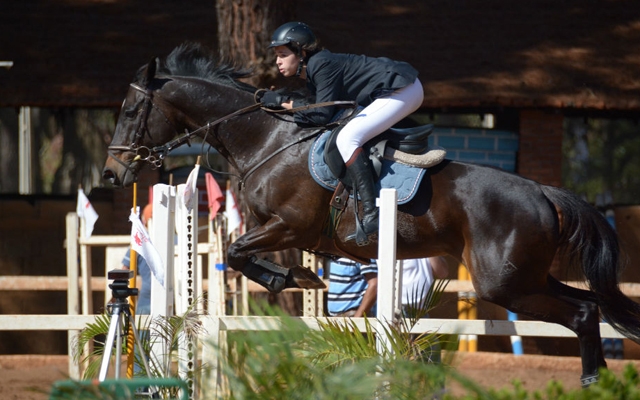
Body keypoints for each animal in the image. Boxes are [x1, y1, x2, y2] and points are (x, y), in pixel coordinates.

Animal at [102, 43, 640, 384]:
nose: (111, 174)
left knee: (581, 311)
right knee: (590, 306)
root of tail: (543, 193)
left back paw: (591, 379)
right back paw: (597, 379)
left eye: (130, 111)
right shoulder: (270, 227)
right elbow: (237, 254)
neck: (267, 140)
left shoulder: (289, 226)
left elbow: (237, 253)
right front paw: (301, 278)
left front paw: (294, 278)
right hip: (526, 276)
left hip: (504, 283)